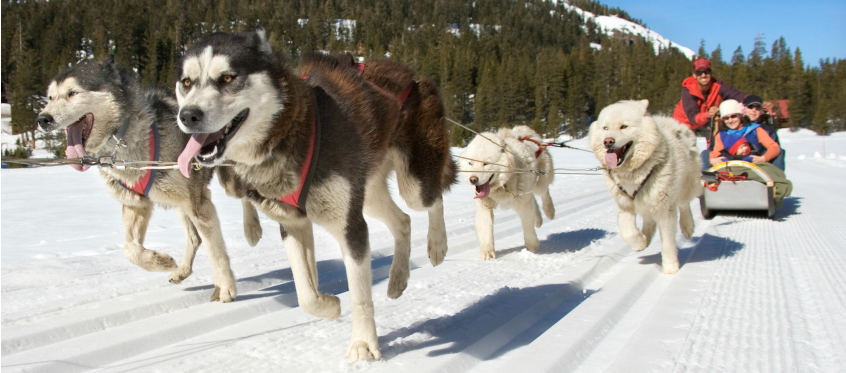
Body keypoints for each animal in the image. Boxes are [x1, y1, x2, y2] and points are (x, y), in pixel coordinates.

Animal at [36, 58, 248, 302]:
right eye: (50, 97)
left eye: (73, 93)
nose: (42, 119)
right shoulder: (135, 204)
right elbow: (130, 249)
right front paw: (159, 261)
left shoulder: (198, 201)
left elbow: (216, 250)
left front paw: (225, 288)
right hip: (177, 204)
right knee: (194, 237)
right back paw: (182, 270)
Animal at [174, 29, 458, 360]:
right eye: (187, 82)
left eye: (228, 78)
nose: (188, 116)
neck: (289, 133)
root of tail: (411, 75)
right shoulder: (293, 224)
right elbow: (305, 293)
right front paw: (330, 305)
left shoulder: (350, 227)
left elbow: (359, 296)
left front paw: (363, 344)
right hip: (368, 197)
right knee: (403, 221)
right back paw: (398, 278)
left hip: (413, 184)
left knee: (432, 198)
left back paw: (437, 244)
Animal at [458, 125, 556, 258]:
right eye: (470, 163)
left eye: (486, 163)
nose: (472, 179)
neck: (502, 186)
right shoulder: (484, 207)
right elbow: (486, 229)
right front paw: (487, 251)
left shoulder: (524, 205)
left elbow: (528, 227)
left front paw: (532, 245)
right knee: (533, 201)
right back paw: (539, 219)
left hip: (540, 182)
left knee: (544, 193)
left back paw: (549, 211)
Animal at [588, 99, 704, 274]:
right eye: (605, 128)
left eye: (624, 126)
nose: (608, 141)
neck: (633, 173)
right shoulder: (625, 205)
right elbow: (628, 233)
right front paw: (640, 241)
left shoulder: (665, 209)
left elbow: (668, 241)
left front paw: (670, 267)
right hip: (645, 201)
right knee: (649, 221)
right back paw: (645, 238)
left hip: (686, 185)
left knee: (684, 205)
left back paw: (687, 227)